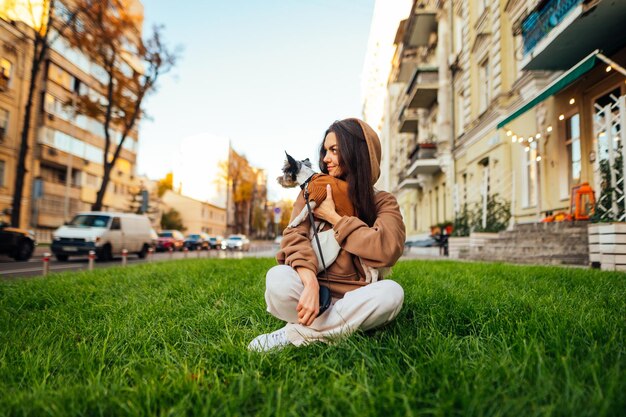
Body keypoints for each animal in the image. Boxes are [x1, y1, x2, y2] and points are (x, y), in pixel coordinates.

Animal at [276, 151, 386, 282]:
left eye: (284, 171)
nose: (277, 179)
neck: (308, 179)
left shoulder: (316, 197)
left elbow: (303, 211)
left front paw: (294, 223)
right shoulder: (317, 212)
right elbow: (314, 224)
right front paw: (312, 233)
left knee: (374, 271)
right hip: (358, 254)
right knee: (368, 271)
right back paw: (366, 283)